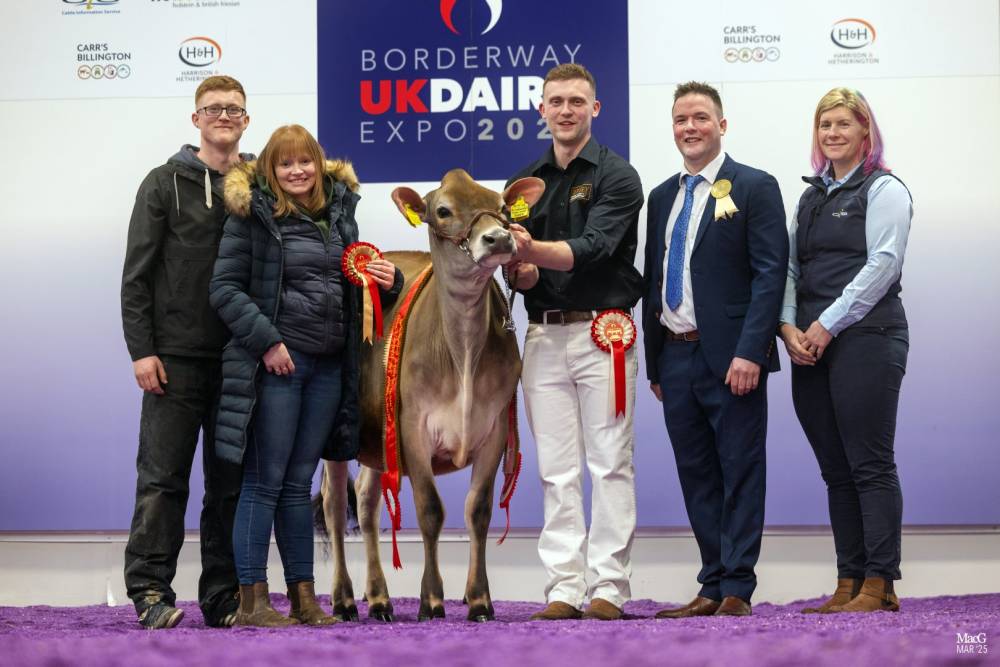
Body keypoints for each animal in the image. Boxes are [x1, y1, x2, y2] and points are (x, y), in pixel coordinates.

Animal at [320, 169, 545, 622]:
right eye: (442, 210)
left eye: (502, 205)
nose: (499, 238)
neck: (461, 352)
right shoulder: (413, 428)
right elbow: (430, 511)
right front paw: (432, 599)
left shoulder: (495, 428)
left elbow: (478, 511)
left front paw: (479, 600)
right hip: (340, 435)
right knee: (335, 507)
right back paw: (345, 598)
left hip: (377, 440)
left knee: (367, 502)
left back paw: (379, 598)